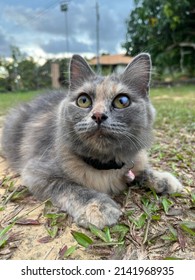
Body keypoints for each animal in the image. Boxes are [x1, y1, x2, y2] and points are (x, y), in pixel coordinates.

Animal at [1, 53, 183, 229]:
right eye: (83, 100)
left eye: (122, 101)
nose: (98, 115)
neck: (103, 165)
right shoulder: (37, 173)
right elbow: (72, 188)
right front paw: (98, 206)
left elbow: (143, 170)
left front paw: (164, 179)